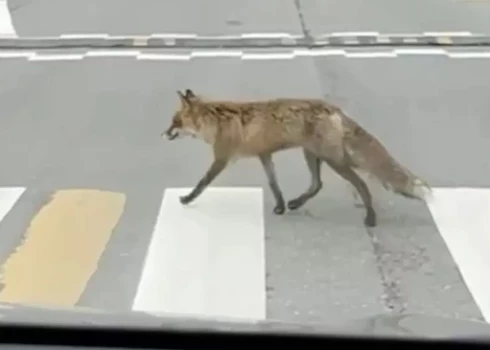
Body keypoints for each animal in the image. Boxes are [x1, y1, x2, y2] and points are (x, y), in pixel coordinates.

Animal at [163, 89, 430, 228]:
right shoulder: (264, 155)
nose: (163, 134)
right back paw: (295, 203)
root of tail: (333, 108)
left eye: (174, 121)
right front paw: (281, 206)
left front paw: (187, 199)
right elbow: (274, 185)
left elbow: (202, 184)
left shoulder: (222, 158)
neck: (216, 121)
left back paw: (371, 217)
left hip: (334, 160)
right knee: (317, 184)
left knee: (361, 184)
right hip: (313, 154)